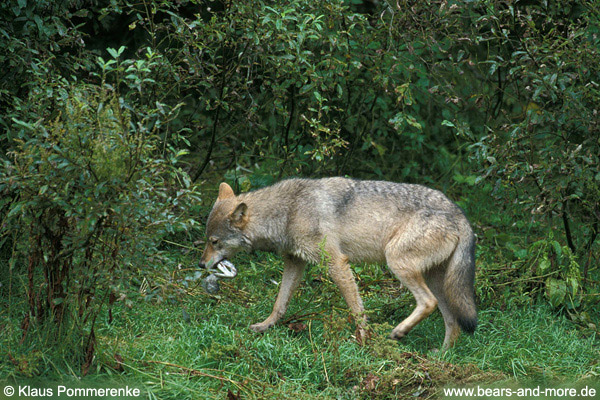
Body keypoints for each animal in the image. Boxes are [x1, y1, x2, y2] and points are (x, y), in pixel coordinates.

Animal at [199, 177, 476, 348]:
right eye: (207, 240)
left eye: (214, 241)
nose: (201, 265)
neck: (288, 211)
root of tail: (460, 214)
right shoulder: (295, 263)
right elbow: (280, 303)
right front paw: (265, 326)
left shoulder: (336, 263)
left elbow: (356, 309)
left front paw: (364, 341)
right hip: (436, 281)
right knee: (453, 322)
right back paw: (441, 358)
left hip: (398, 263)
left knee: (428, 303)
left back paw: (399, 332)